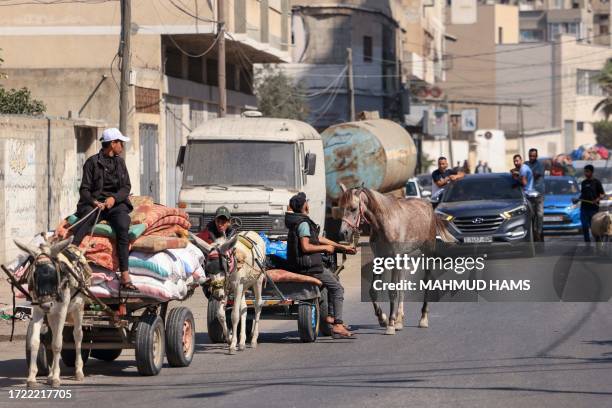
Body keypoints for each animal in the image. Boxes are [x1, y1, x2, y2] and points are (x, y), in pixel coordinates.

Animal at [14, 237, 89, 388]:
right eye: (34, 274)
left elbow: (57, 344)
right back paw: (49, 375)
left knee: (77, 335)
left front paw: (55, 378)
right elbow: (35, 342)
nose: (47, 304)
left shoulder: (62, 310)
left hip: (78, 307)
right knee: (52, 336)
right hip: (51, 314)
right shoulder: (38, 309)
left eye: (55, 274)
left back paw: (78, 371)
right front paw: (32, 378)